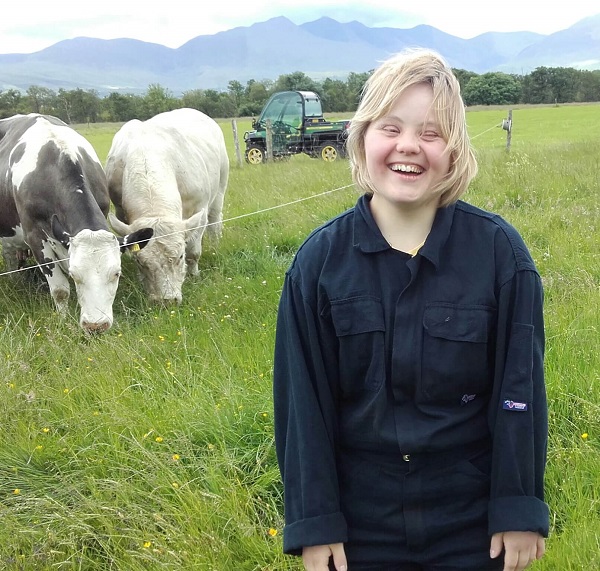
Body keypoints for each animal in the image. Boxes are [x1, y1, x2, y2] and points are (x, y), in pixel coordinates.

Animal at [0, 113, 154, 332]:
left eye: (117, 273)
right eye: (74, 275)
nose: (95, 326)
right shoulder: (35, 236)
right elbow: (60, 289)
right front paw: (63, 320)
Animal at [105, 108, 230, 304]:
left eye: (180, 256)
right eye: (140, 262)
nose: (166, 301)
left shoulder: (199, 209)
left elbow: (194, 250)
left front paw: (194, 273)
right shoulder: (119, 211)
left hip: (220, 188)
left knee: (215, 221)